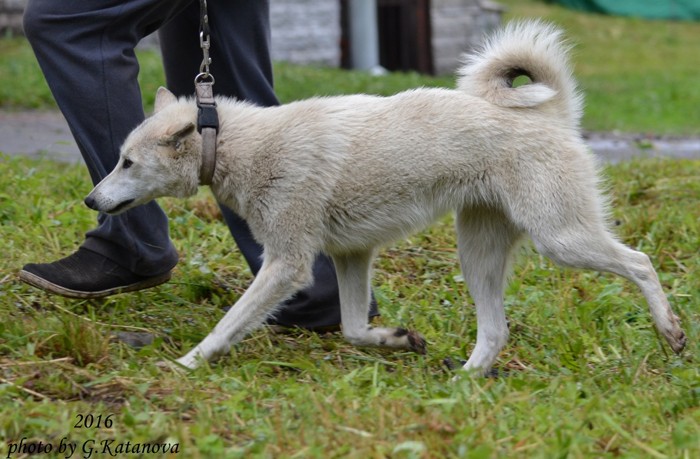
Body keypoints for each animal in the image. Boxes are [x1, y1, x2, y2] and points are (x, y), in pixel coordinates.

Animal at [85, 20, 686, 374]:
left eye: (127, 162)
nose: (91, 202)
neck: (235, 143)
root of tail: (551, 112)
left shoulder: (287, 264)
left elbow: (227, 325)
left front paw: (187, 363)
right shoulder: (351, 256)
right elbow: (354, 330)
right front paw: (397, 339)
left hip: (560, 238)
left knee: (640, 261)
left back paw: (670, 331)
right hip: (478, 255)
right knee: (495, 329)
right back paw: (463, 383)